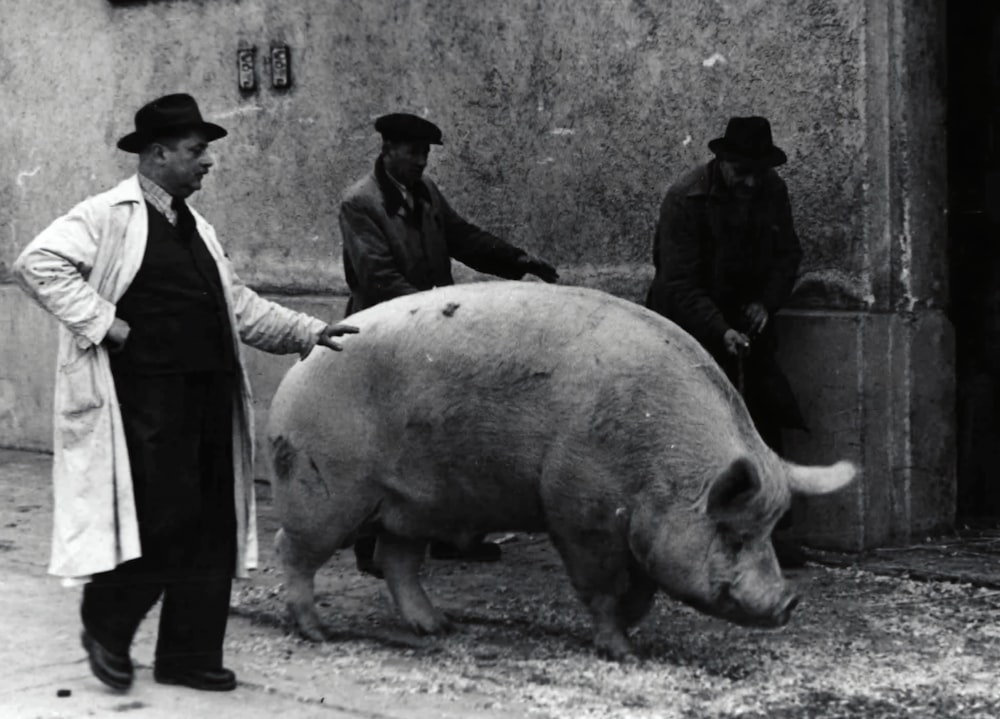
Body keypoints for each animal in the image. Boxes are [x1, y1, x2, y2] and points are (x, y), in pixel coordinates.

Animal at [268, 280, 860, 660]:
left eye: (770, 531)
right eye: (734, 534)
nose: (789, 600)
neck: (659, 467)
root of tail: (300, 365)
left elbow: (641, 591)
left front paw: (632, 639)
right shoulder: (577, 511)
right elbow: (601, 586)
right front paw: (623, 654)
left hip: (412, 502)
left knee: (398, 559)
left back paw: (438, 627)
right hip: (323, 490)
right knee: (292, 550)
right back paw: (316, 633)